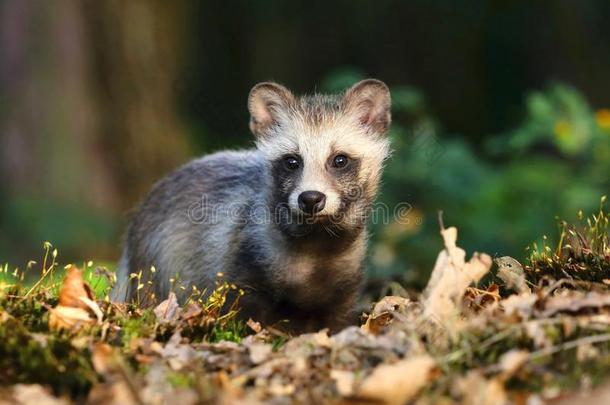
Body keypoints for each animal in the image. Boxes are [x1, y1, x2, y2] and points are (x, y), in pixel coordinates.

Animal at [110, 78, 390, 332]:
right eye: (292, 161)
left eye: (340, 159)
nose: (310, 198)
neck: (316, 250)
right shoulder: (240, 264)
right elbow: (242, 316)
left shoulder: (344, 285)